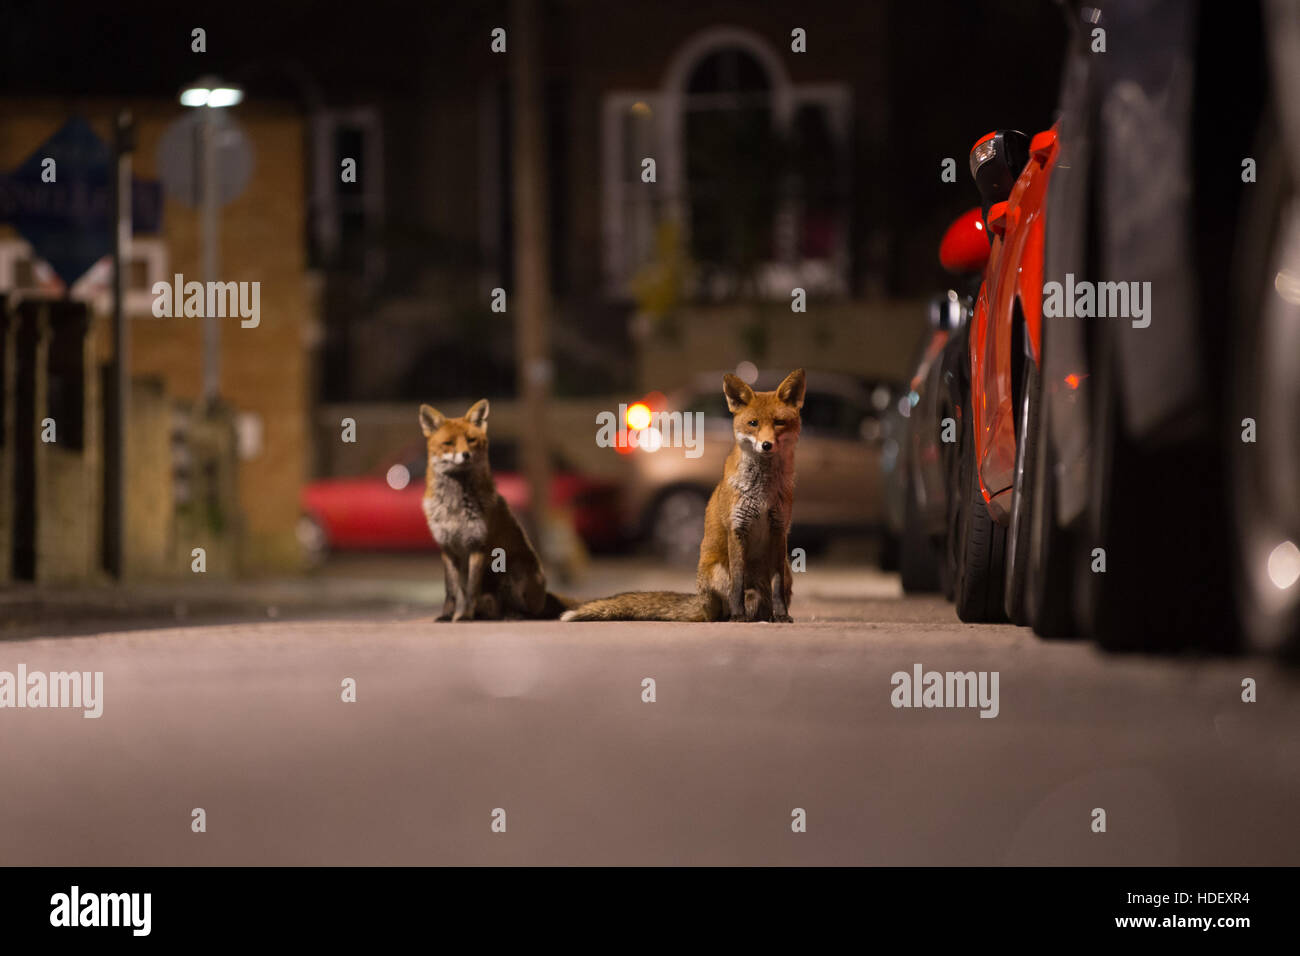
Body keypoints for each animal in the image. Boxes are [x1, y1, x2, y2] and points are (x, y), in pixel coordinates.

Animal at [421, 403, 569, 621]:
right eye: (448, 443)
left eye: (471, 440)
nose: (466, 455)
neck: (455, 507)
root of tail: (543, 596)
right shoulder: (447, 548)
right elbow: (451, 591)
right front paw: (447, 616)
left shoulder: (478, 545)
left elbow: (472, 590)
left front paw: (465, 617)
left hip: (511, 571)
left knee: (529, 612)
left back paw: (511, 615)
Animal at [566, 364, 806, 621]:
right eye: (753, 423)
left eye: (779, 422)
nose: (766, 445)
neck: (762, 491)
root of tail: (700, 604)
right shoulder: (737, 528)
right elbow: (738, 583)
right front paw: (738, 616)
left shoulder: (779, 530)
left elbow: (777, 586)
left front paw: (782, 616)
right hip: (716, 574)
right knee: (721, 609)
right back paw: (732, 616)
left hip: (786, 570)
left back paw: (766, 616)